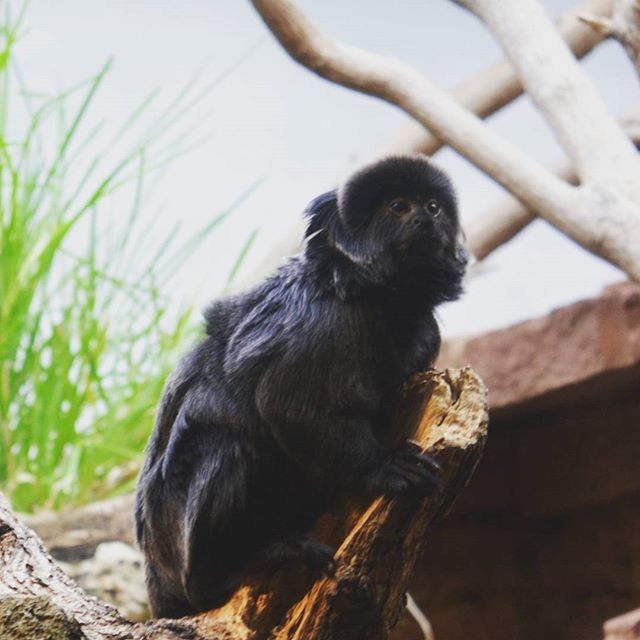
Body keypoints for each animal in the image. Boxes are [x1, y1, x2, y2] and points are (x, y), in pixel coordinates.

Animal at [134, 154, 464, 616]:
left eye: (433, 207)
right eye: (398, 207)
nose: (424, 220)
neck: (376, 298)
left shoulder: (426, 336)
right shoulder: (321, 323)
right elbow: (288, 407)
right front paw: (382, 467)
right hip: (175, 537)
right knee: (224, 445)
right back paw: (237, 568)